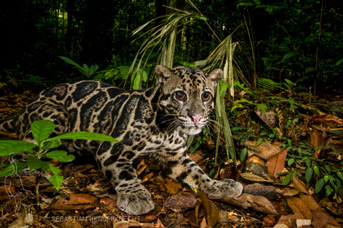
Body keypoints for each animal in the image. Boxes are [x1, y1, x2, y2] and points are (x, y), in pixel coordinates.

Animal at [0, 65, 243, 215]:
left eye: (206, 95)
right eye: (180, 95)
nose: (196, 117)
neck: (167, 129)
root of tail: (24, 107)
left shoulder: (175, 156)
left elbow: (198, 173)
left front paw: (220, 185)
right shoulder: (111, 148)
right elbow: (125, 172)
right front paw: (136, 196)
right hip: (54, 118)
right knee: (23, 151)